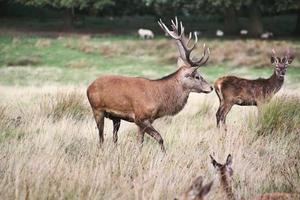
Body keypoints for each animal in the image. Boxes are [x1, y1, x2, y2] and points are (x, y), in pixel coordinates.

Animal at [86, 17, 213, 152]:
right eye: (197, 76)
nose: (211, 87)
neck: (159, 99)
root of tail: (89, 86)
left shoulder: (145, 121)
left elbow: (140, 143)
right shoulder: (140, 117)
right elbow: (160, 138)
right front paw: (164, 154)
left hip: (115, 117)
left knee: (114, 137)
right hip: (97, 109)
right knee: (101, 137)